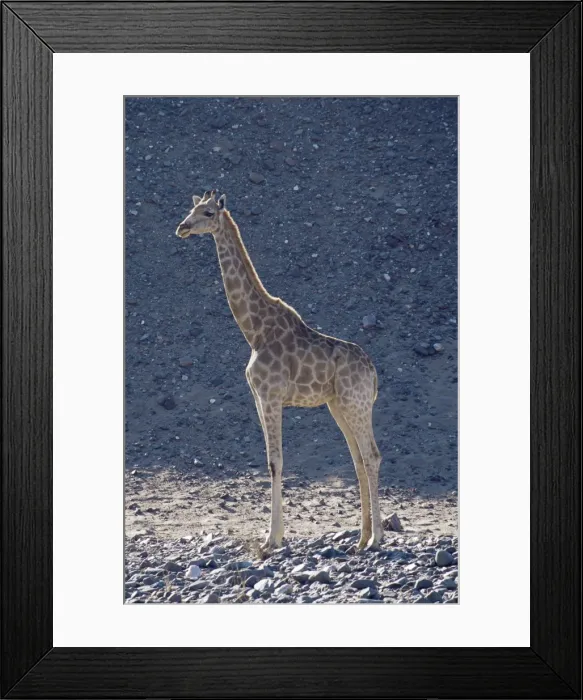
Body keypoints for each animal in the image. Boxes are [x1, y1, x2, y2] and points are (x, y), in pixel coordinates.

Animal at [176, 191, 383, 553]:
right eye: (190, 209)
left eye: (208, 212)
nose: (182, 227)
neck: (254, 331)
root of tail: (373, 374)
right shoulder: (258, 398)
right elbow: (270, 461)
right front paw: (272, 535)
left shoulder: (271, 396)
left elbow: (277, 462)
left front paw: (271, 539)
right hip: (339, 406)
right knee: (358, 459)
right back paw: (359, 539)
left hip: (356, 404)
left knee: (372, 455)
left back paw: (377, 539)